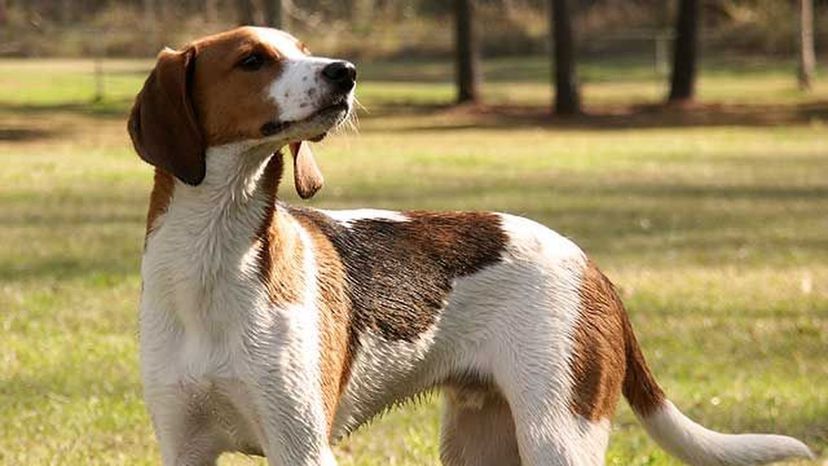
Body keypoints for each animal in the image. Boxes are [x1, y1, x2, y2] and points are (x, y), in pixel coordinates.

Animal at [129, 26, 816, 466]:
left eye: (302, 50)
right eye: (252, 60)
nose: (345, 71)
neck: (212, 259)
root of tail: (591, 266)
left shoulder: (301, 446)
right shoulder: (184, 447)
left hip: (557, 437)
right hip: (481, 441)